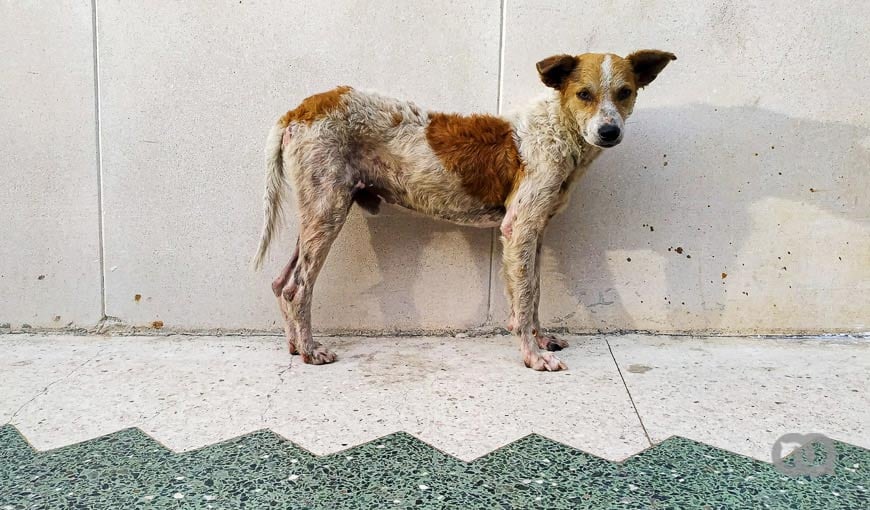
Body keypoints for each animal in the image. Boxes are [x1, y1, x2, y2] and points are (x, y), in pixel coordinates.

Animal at [252, 49, 676, 372]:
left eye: (625, 92)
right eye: (584, 93)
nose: (609, 132)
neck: (557, 128)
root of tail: (301, 108)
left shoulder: (537, 230)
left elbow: (535, 291)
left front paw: (541, 339)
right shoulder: (519, 227)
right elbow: (525, 296)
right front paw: (532, 356)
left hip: (317, 210)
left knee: (279, 281)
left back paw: (294, 345)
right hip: (328, 209)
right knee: (297, 288)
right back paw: (310, 351)